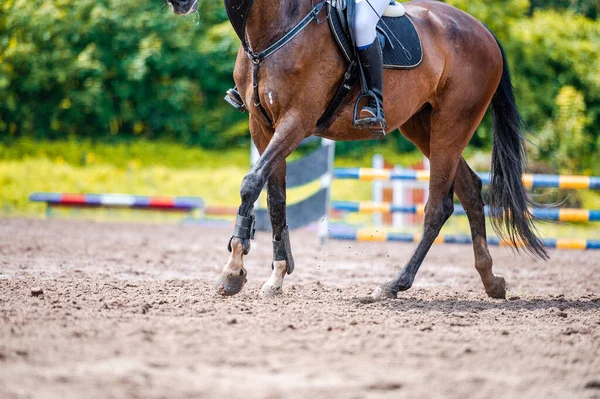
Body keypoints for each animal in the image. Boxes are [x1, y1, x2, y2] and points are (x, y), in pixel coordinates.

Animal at [169, 0, 548, 300]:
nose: (179, 3)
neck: (275, 26)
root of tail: (484, 32)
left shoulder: (296, 122)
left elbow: (251, 183)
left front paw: (232, 271)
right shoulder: (262, 127)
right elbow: (275, 198)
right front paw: (277, 274)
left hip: (452, 126)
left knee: (438, 207)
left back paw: (394, 285)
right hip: (422, 127)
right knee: (470, 188)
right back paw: (491, 280)